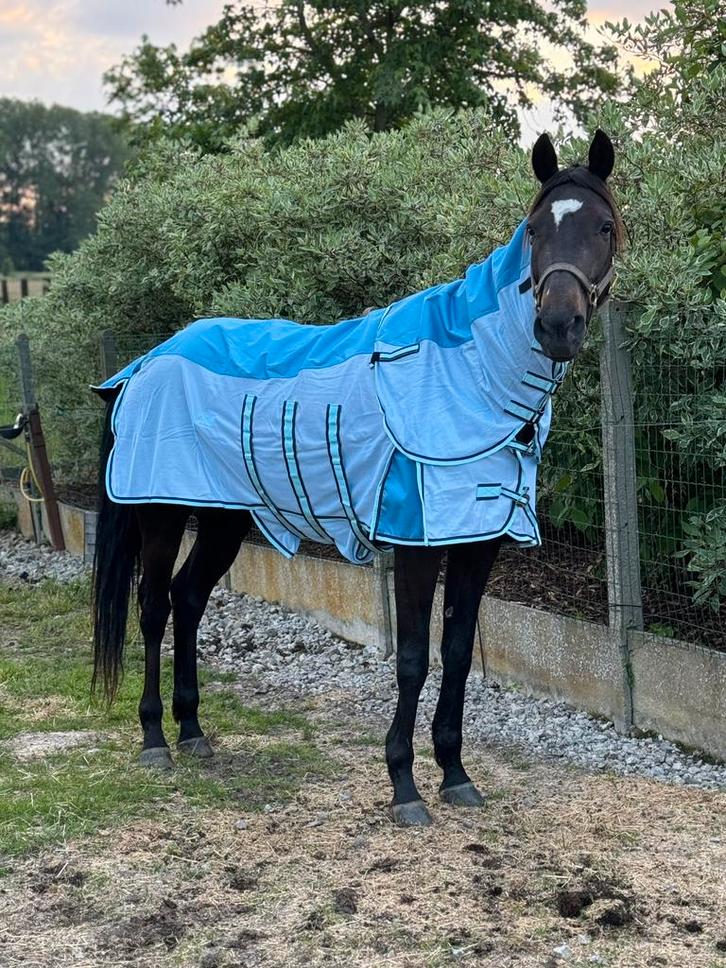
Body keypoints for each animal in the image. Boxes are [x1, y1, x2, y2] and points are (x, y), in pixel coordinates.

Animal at [91, 130, 622, 827]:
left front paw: (455, 774)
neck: (468, 374)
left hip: (225, 517)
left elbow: (457, 652)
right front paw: (404, 785)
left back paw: (193, 731)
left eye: (604, 226)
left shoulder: (477, 541)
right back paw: (155, 738)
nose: (558, 326)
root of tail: (146, 362)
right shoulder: (417, 538)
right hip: (159, 508)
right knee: (154, 605)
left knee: (189, 598)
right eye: (533, 230)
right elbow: (414, 657)